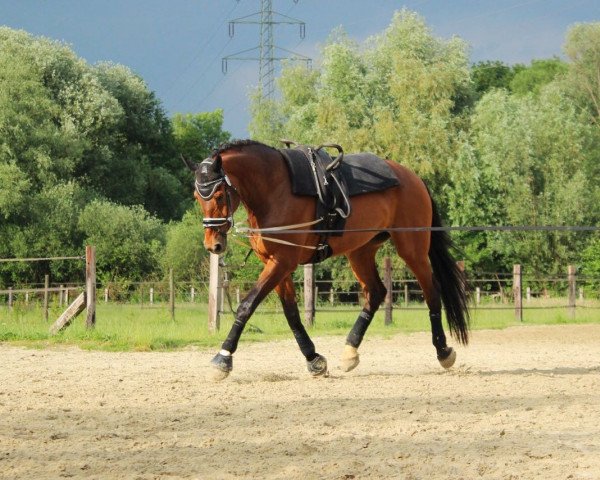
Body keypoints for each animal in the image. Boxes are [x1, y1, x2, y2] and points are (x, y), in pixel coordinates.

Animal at [183, 140, 468, 382]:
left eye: (219, 196)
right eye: (198, 197)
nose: (213, 245)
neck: (275, 189)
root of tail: (413, 178)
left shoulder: (282, 262)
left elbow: (246, 306)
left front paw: (223, 358)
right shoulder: (275, 263)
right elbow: (292, 314)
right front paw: (314, 360)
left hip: (412, 249)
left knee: (432, 292)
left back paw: (443, 350)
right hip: (360, 251)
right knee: (376, 292)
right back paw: (350, 352)